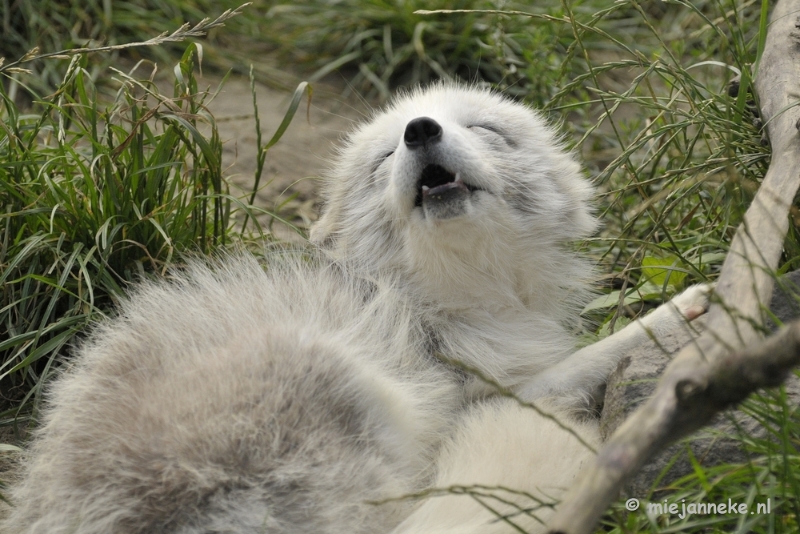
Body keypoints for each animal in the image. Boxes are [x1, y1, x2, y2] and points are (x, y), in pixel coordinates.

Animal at [3, 86, 708, 532]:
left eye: (483, 129)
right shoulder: (470, 391)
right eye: (384, 158)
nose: (420, 131)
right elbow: (597, 353)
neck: (429, 299)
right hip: (338, 379)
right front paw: (695, 303)